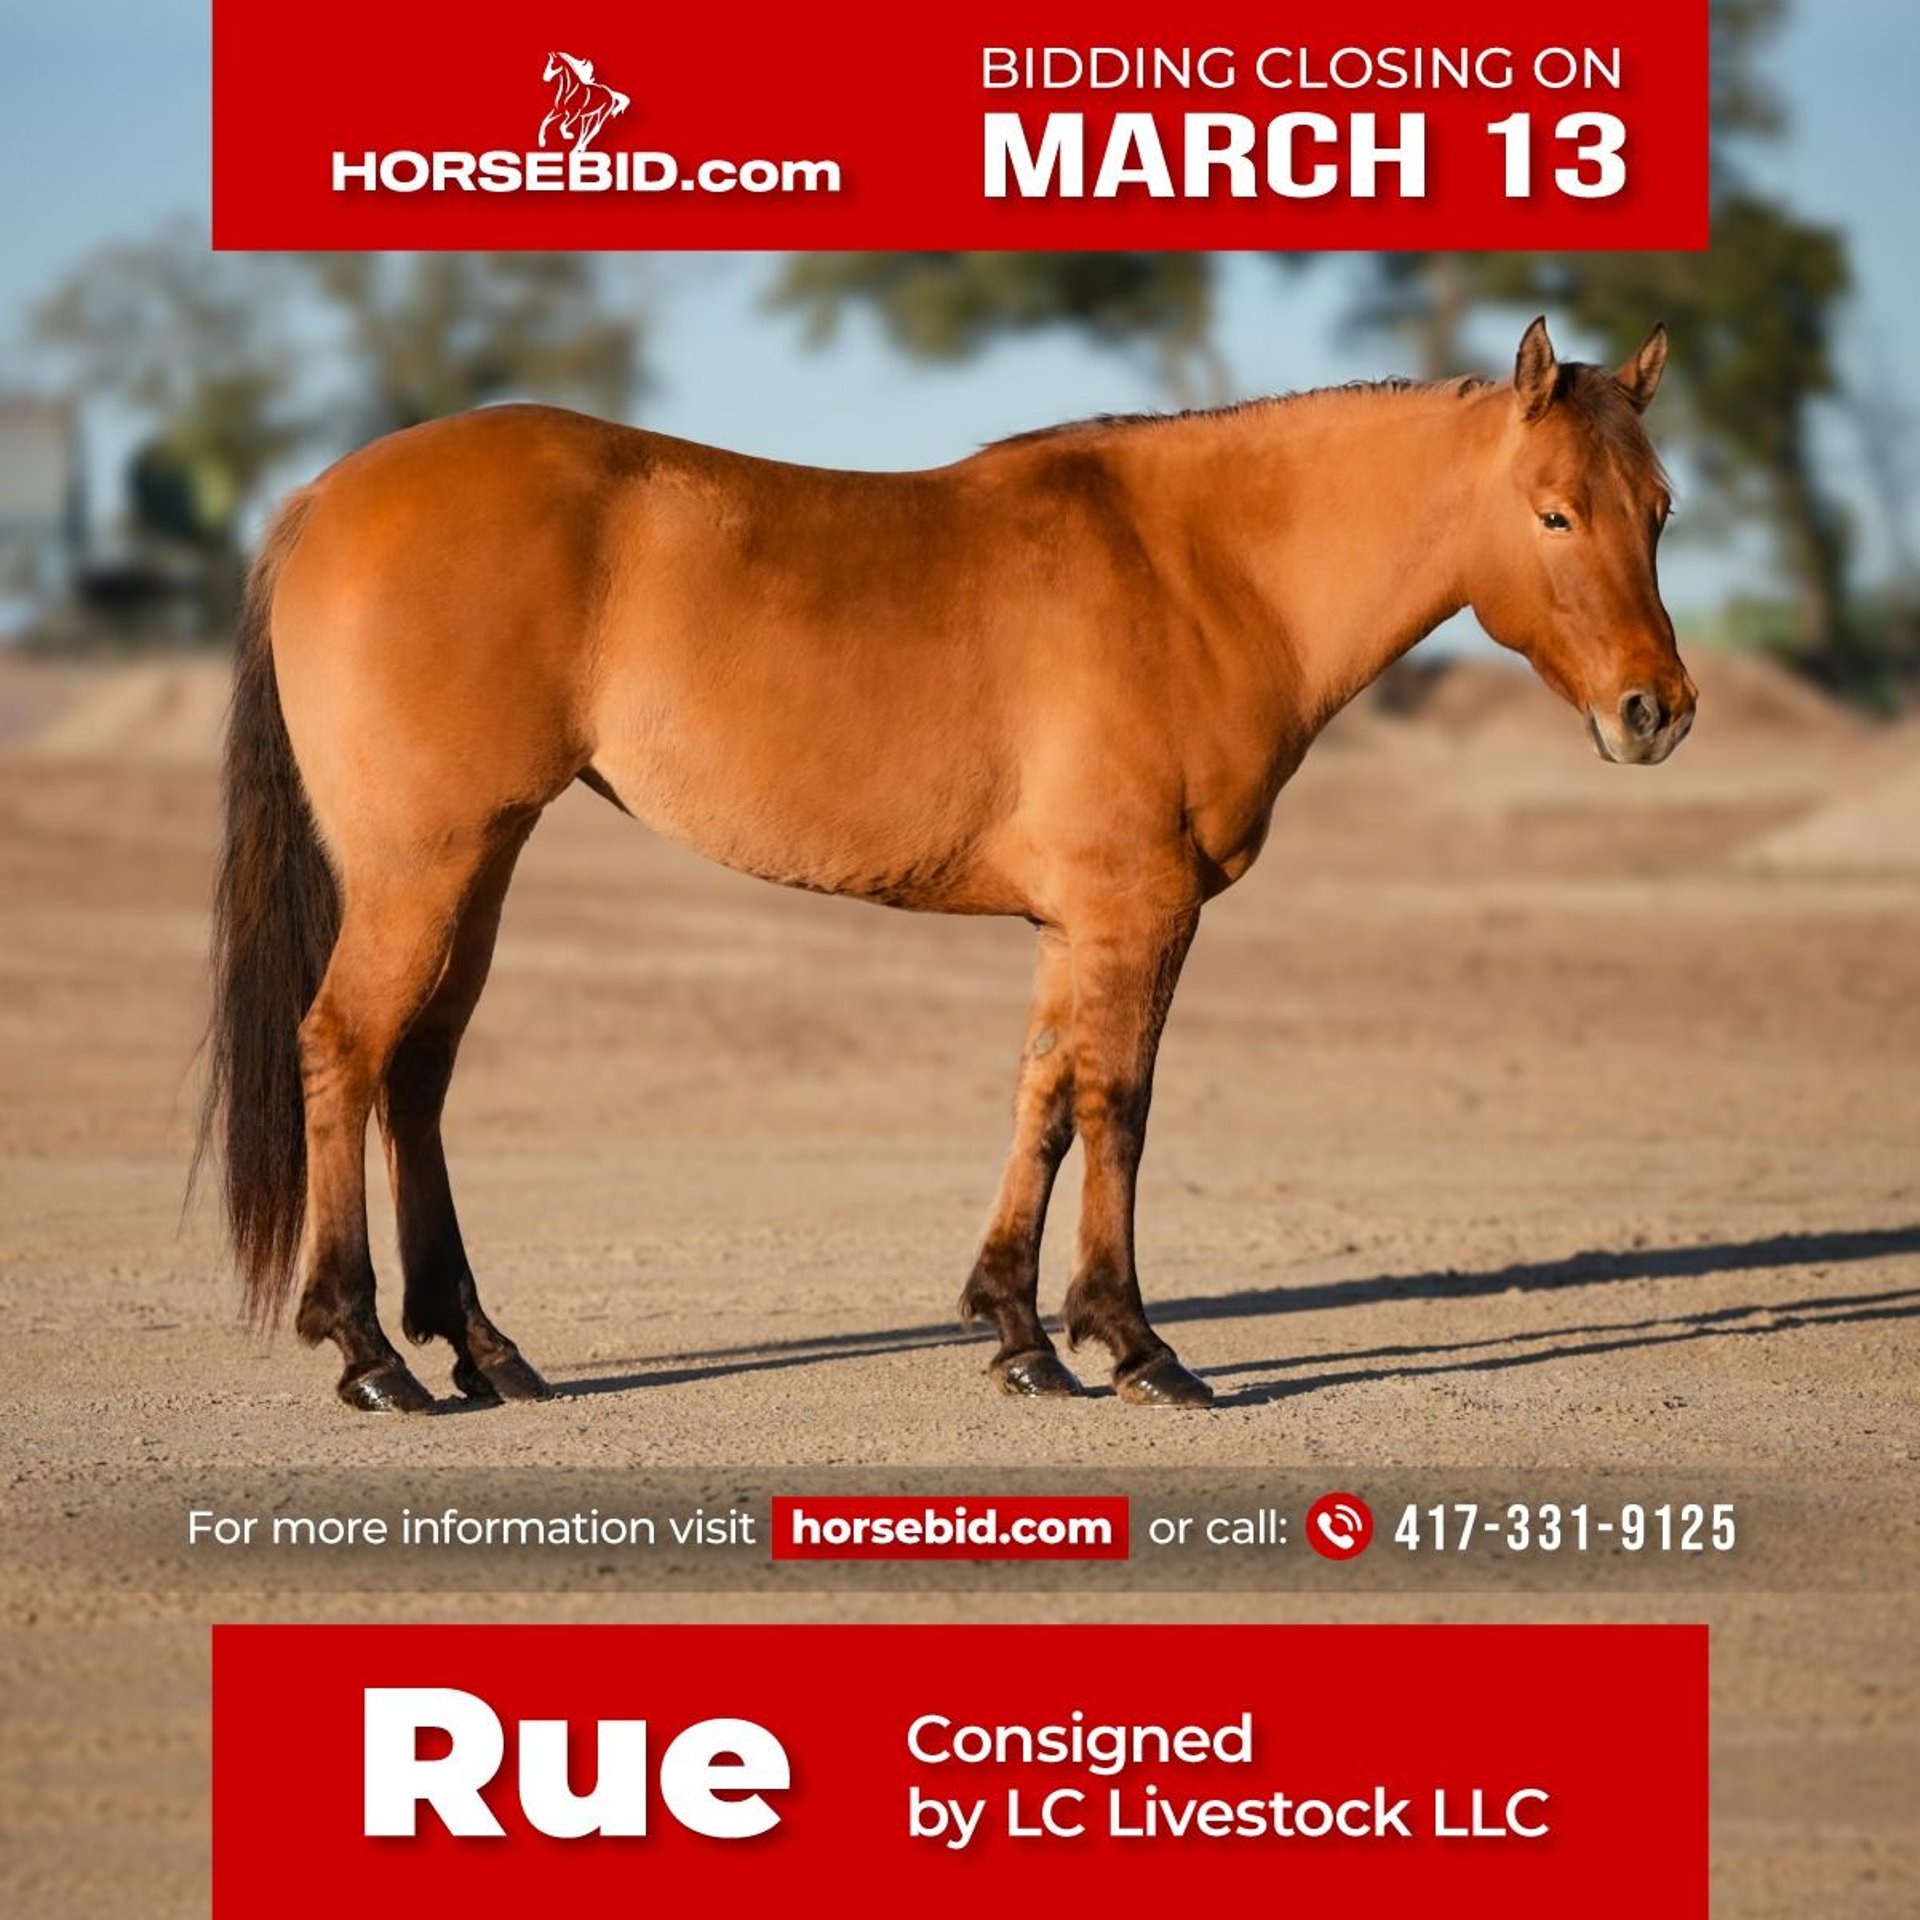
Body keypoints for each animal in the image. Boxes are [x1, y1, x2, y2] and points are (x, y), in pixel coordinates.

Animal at [194, 316, 1694, 1416]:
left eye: (1662, 509)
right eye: (1555, 515)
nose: (1656, 712)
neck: (1200, 570)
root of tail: (324, 494)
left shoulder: (1073, 924)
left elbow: (1042, 1098)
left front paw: (1019, 1335)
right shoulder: (1139, 914)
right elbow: (1119, 1109)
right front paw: (1134, 1344)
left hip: (479, 867)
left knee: (419, 1076)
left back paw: (480, 1348)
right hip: (424, 868)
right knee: (344, 1049)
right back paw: (368, 1353)